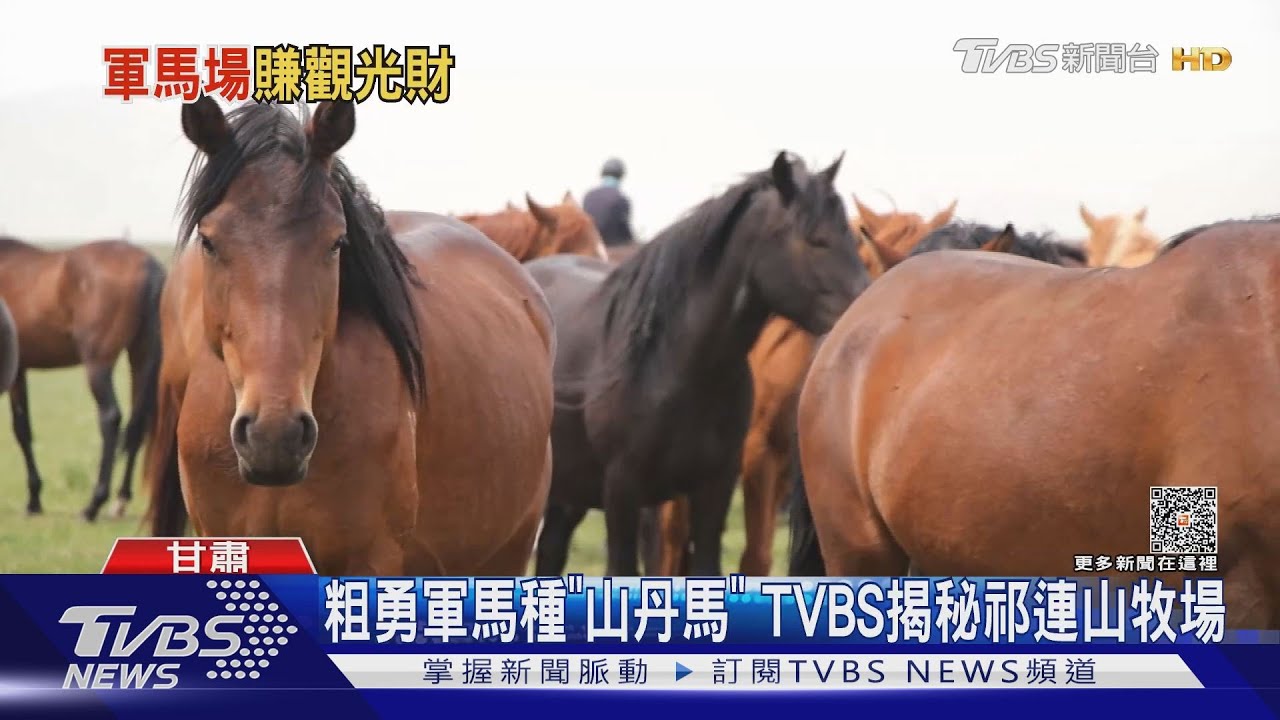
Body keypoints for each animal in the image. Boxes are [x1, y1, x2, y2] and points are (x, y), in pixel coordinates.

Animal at [0, 236, 164, 520]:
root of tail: (149, 267)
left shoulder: (15, 371)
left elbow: (21, 429)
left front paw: (33, 500)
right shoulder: (20, 370)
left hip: (98, 365)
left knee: (111, 418)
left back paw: (93, 505)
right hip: (141, 357)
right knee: (138, 424)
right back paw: (119, 501)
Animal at [525, 151, 871, 577]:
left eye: (852, 237)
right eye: (815, 240)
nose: (867, 304)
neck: (676, 367)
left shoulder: (713, 489)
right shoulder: (622, 492)